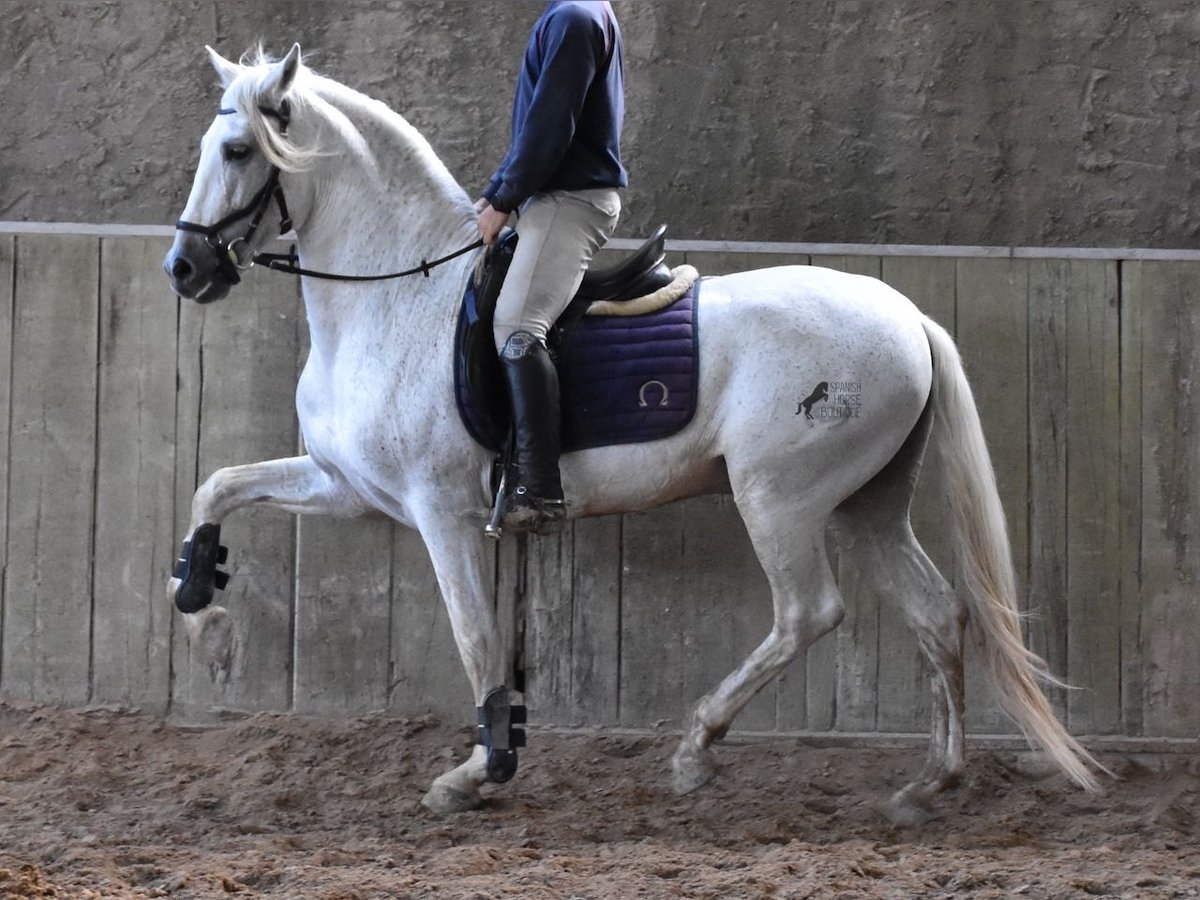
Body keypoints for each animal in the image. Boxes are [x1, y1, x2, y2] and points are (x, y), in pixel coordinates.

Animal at [164, 45, 1099, 820]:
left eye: (238, 151)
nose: (185, 269)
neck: (397, 293)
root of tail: (908, 318)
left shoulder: (441, 512)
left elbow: (477, 639)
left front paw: (480, 772)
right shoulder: (348, 486)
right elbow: (219, 484)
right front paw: (200, 606)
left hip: (782, 499)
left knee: (808, 612)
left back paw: (696, 750)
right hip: (868, 503)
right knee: (936, 614)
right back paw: (928, 784)